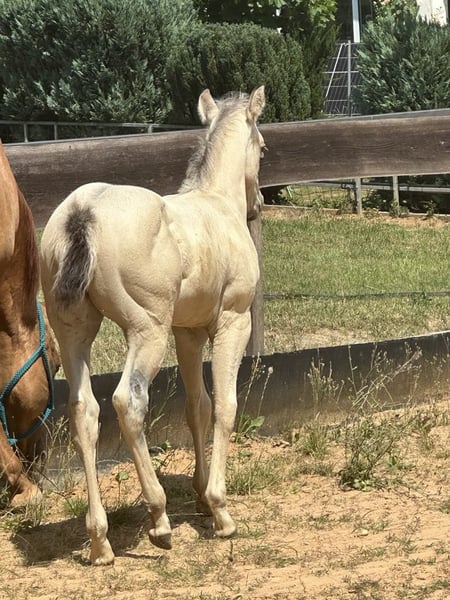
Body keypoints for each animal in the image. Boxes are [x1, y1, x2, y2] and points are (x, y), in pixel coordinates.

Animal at [40, 86, 266, 565]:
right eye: (263, 147)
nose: (258, 204)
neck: (217, 204)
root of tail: (82, 212)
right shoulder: (231, 322)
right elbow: (224, 406)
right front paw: (219, 509)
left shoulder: (188, 332)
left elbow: (197, 406)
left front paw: (200, 495)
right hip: (147, 331)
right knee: (128, 401)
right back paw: (159, 520)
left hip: (72, 331)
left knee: (84, 410)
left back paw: (100, 541)